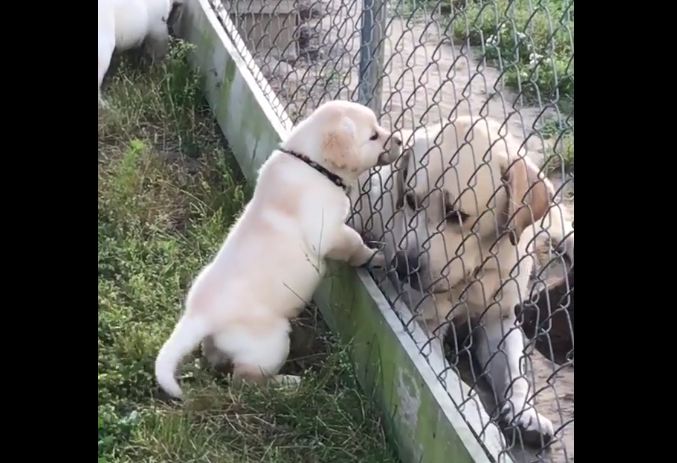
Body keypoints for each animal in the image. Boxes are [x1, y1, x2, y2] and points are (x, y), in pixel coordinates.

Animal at [154, 100, 402, 398]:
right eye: (373, 136)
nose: (400, 140)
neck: (314, 164)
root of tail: (197, 315)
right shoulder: (328, 232)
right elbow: (354, 243)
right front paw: (375, 257)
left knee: (217, 359)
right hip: (272, 342)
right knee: (246, 380)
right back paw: (289, 384)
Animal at [352, 118, 572, 448]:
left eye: (456, 214)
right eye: (410, 200)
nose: (403, 266)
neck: (474, 273)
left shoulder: (500, 318)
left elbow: (516, 373)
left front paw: (525, 412)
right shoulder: (424, 326)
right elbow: (456, 386)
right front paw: (483, 424)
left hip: (550, 217)